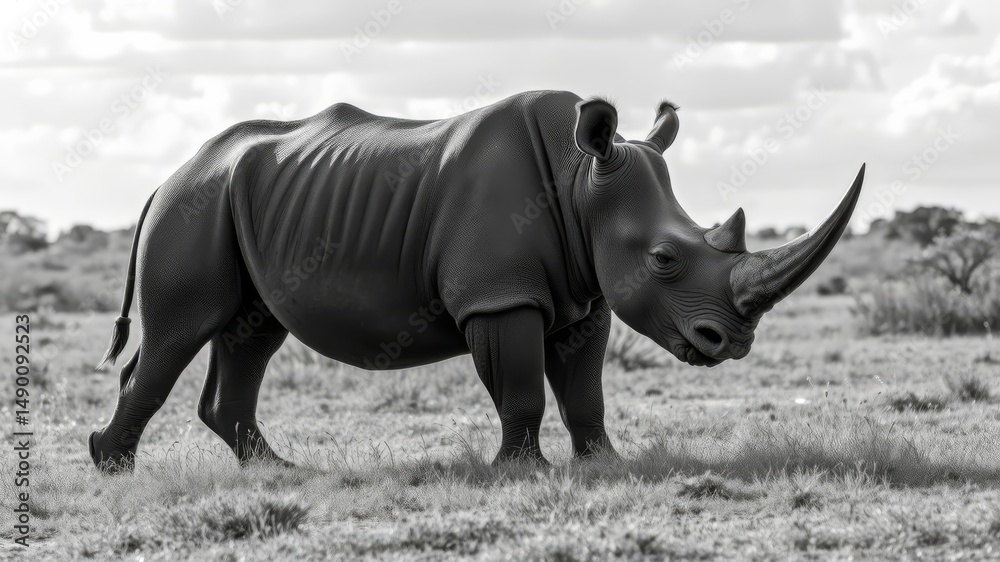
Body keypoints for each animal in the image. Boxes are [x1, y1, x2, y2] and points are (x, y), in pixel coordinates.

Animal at [89, 90, 864, 472]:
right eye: (665, 260)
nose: (729, 342)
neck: (581, 179)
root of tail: (170, 174)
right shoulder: (499, 296)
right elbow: (520, 387)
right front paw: (524, 472)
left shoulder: (583, 297)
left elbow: (585, 389)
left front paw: (604, 465)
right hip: (195, 207)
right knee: (180, 333)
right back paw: (112, 469)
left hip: (238, 202)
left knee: (253, 332)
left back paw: (276, 471)